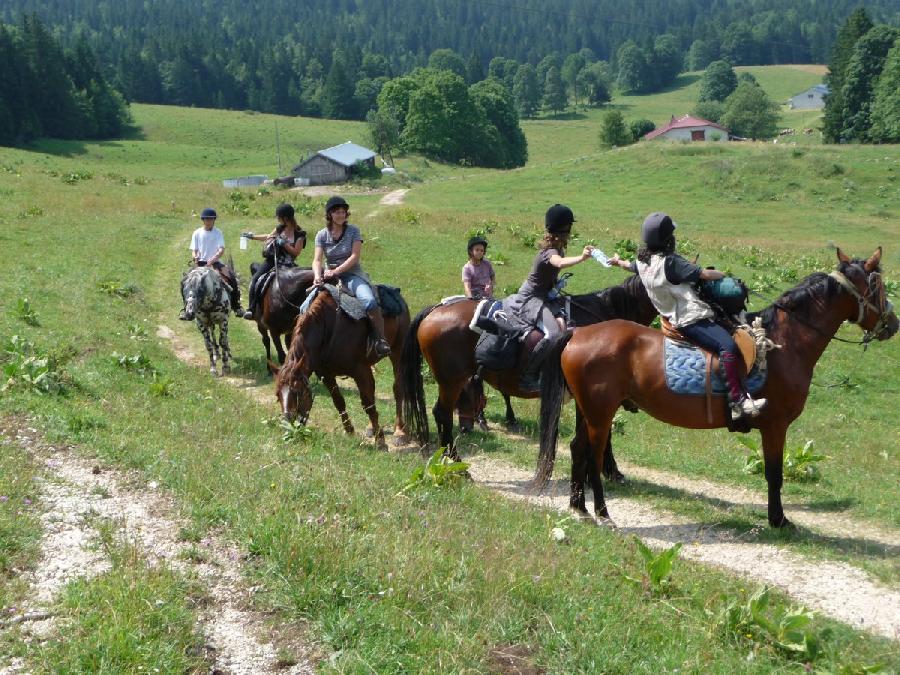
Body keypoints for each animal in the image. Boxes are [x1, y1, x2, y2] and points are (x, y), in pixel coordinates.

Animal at [270, 284, 412, 448]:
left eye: (297, 391)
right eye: (277, 395)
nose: (287, 425)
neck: (327, 328)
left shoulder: (361, 371)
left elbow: (368, 404)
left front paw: (380, 441)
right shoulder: (326, 374)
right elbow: (339, 401)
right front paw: (350, 431)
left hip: (397, 353)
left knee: (398, 389)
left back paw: (400, 432)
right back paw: (371, 428)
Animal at [536, 248, 896, 528]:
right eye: (878, 285)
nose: (893, 324)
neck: (784, 344)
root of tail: (577, 333)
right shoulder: (775, 426)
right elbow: (775, 474)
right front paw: (778, 519)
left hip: (589, 410)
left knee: (578, 449)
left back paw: (580, 508)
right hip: (601, 413)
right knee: (594, 455)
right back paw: (602, 512)